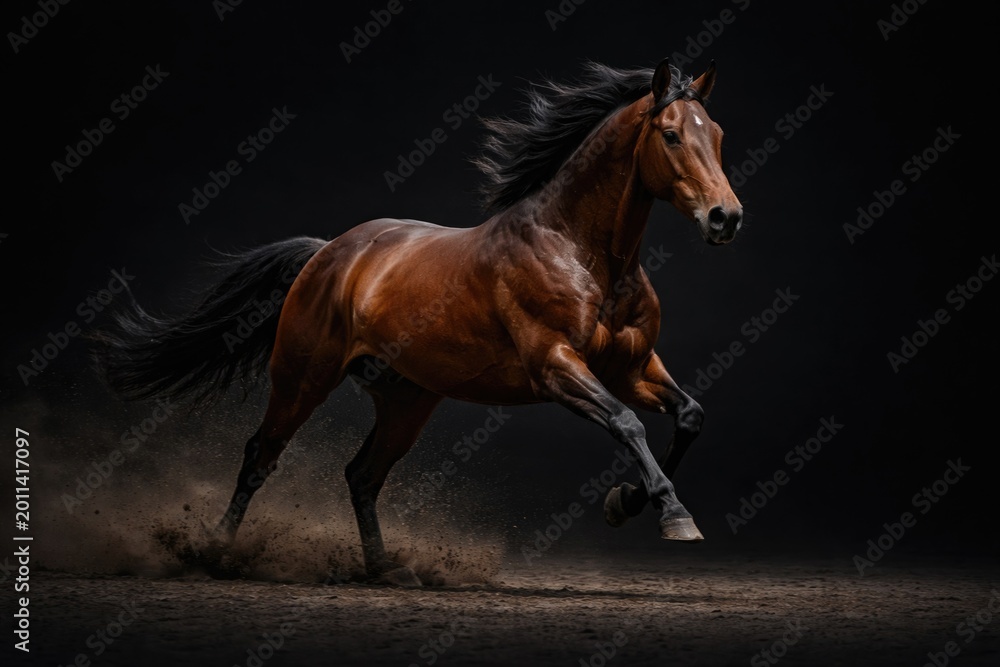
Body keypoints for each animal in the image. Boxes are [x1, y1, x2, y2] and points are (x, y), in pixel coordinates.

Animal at [93, 58, 743, 586]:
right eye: (670, 134)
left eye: (715, 134)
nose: (726, 217)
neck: (580, 251)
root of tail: (328, 254)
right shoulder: (555, 366)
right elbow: (627, 423)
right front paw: (672, 515)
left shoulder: (632, 367)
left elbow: (690, 415)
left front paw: (626, 501)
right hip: (303, 378)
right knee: (261, 456)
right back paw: (214, 554)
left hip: (407, 399)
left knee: (362, 475)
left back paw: (386, 570)